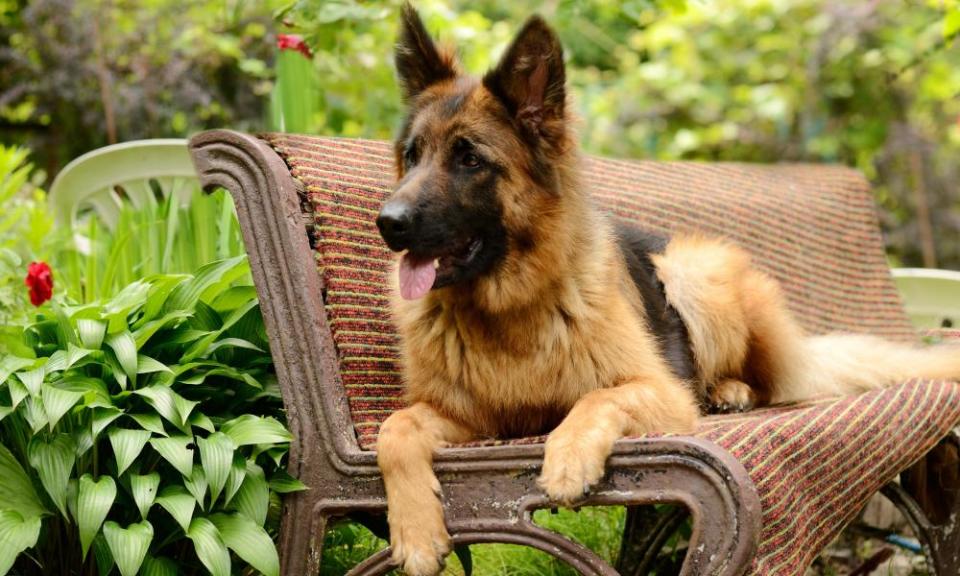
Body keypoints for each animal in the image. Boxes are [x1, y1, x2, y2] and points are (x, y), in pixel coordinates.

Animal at [376, 5, 960, 576]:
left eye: (470, 159)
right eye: (413, 154)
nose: (388, 222)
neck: (508, 311)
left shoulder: (659, 389)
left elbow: (596, 396)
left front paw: (567, 456)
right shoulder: (470, 420)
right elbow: (394, 427)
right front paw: (416, 532)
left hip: (689, 270)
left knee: (763, 382)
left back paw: (729, 390)